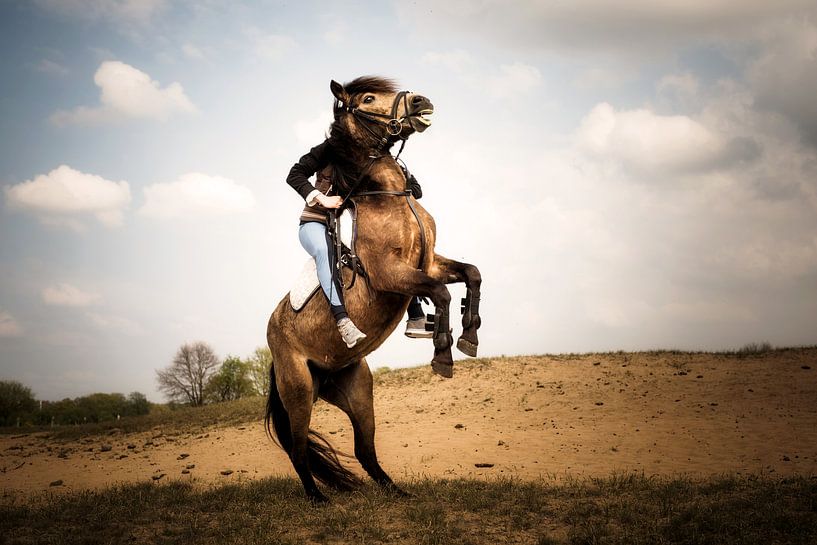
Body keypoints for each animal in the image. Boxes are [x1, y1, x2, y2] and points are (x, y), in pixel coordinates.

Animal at [265, 76, 482, 503]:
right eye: (368, 98)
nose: (422, 101)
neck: (389, 196)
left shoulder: (427, 263)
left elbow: (472, 274)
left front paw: (470, 335)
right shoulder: (390, 274)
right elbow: (442, 293)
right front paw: (443, 355)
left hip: (357, 389)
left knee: (364, 449)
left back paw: (397, 493)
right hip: (298, 391)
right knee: (298, 450)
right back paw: (318, 499)